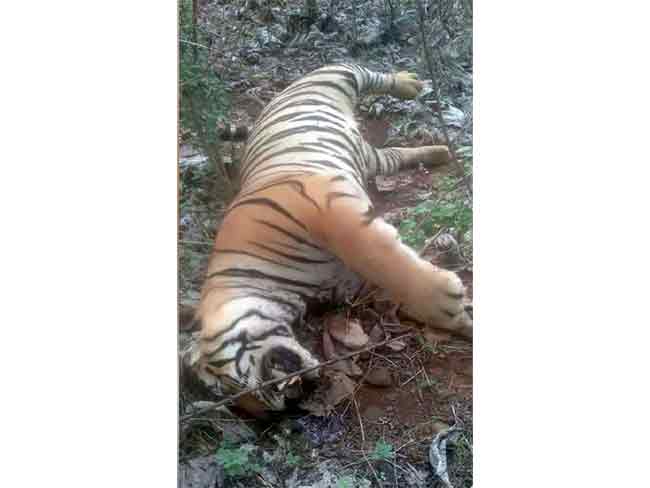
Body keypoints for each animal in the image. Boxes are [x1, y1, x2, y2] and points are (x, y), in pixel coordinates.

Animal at [197, 63, 472, 416]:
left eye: (230, 385)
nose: (280, 407)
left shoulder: (324, 207)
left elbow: (382, 260)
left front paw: (444, 304)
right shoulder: (349, 284)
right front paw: (461, 313)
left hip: (336, 75)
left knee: (368, 73)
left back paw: (409, 84)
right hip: (373, 159)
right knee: (394, 155)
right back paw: (440, 152)